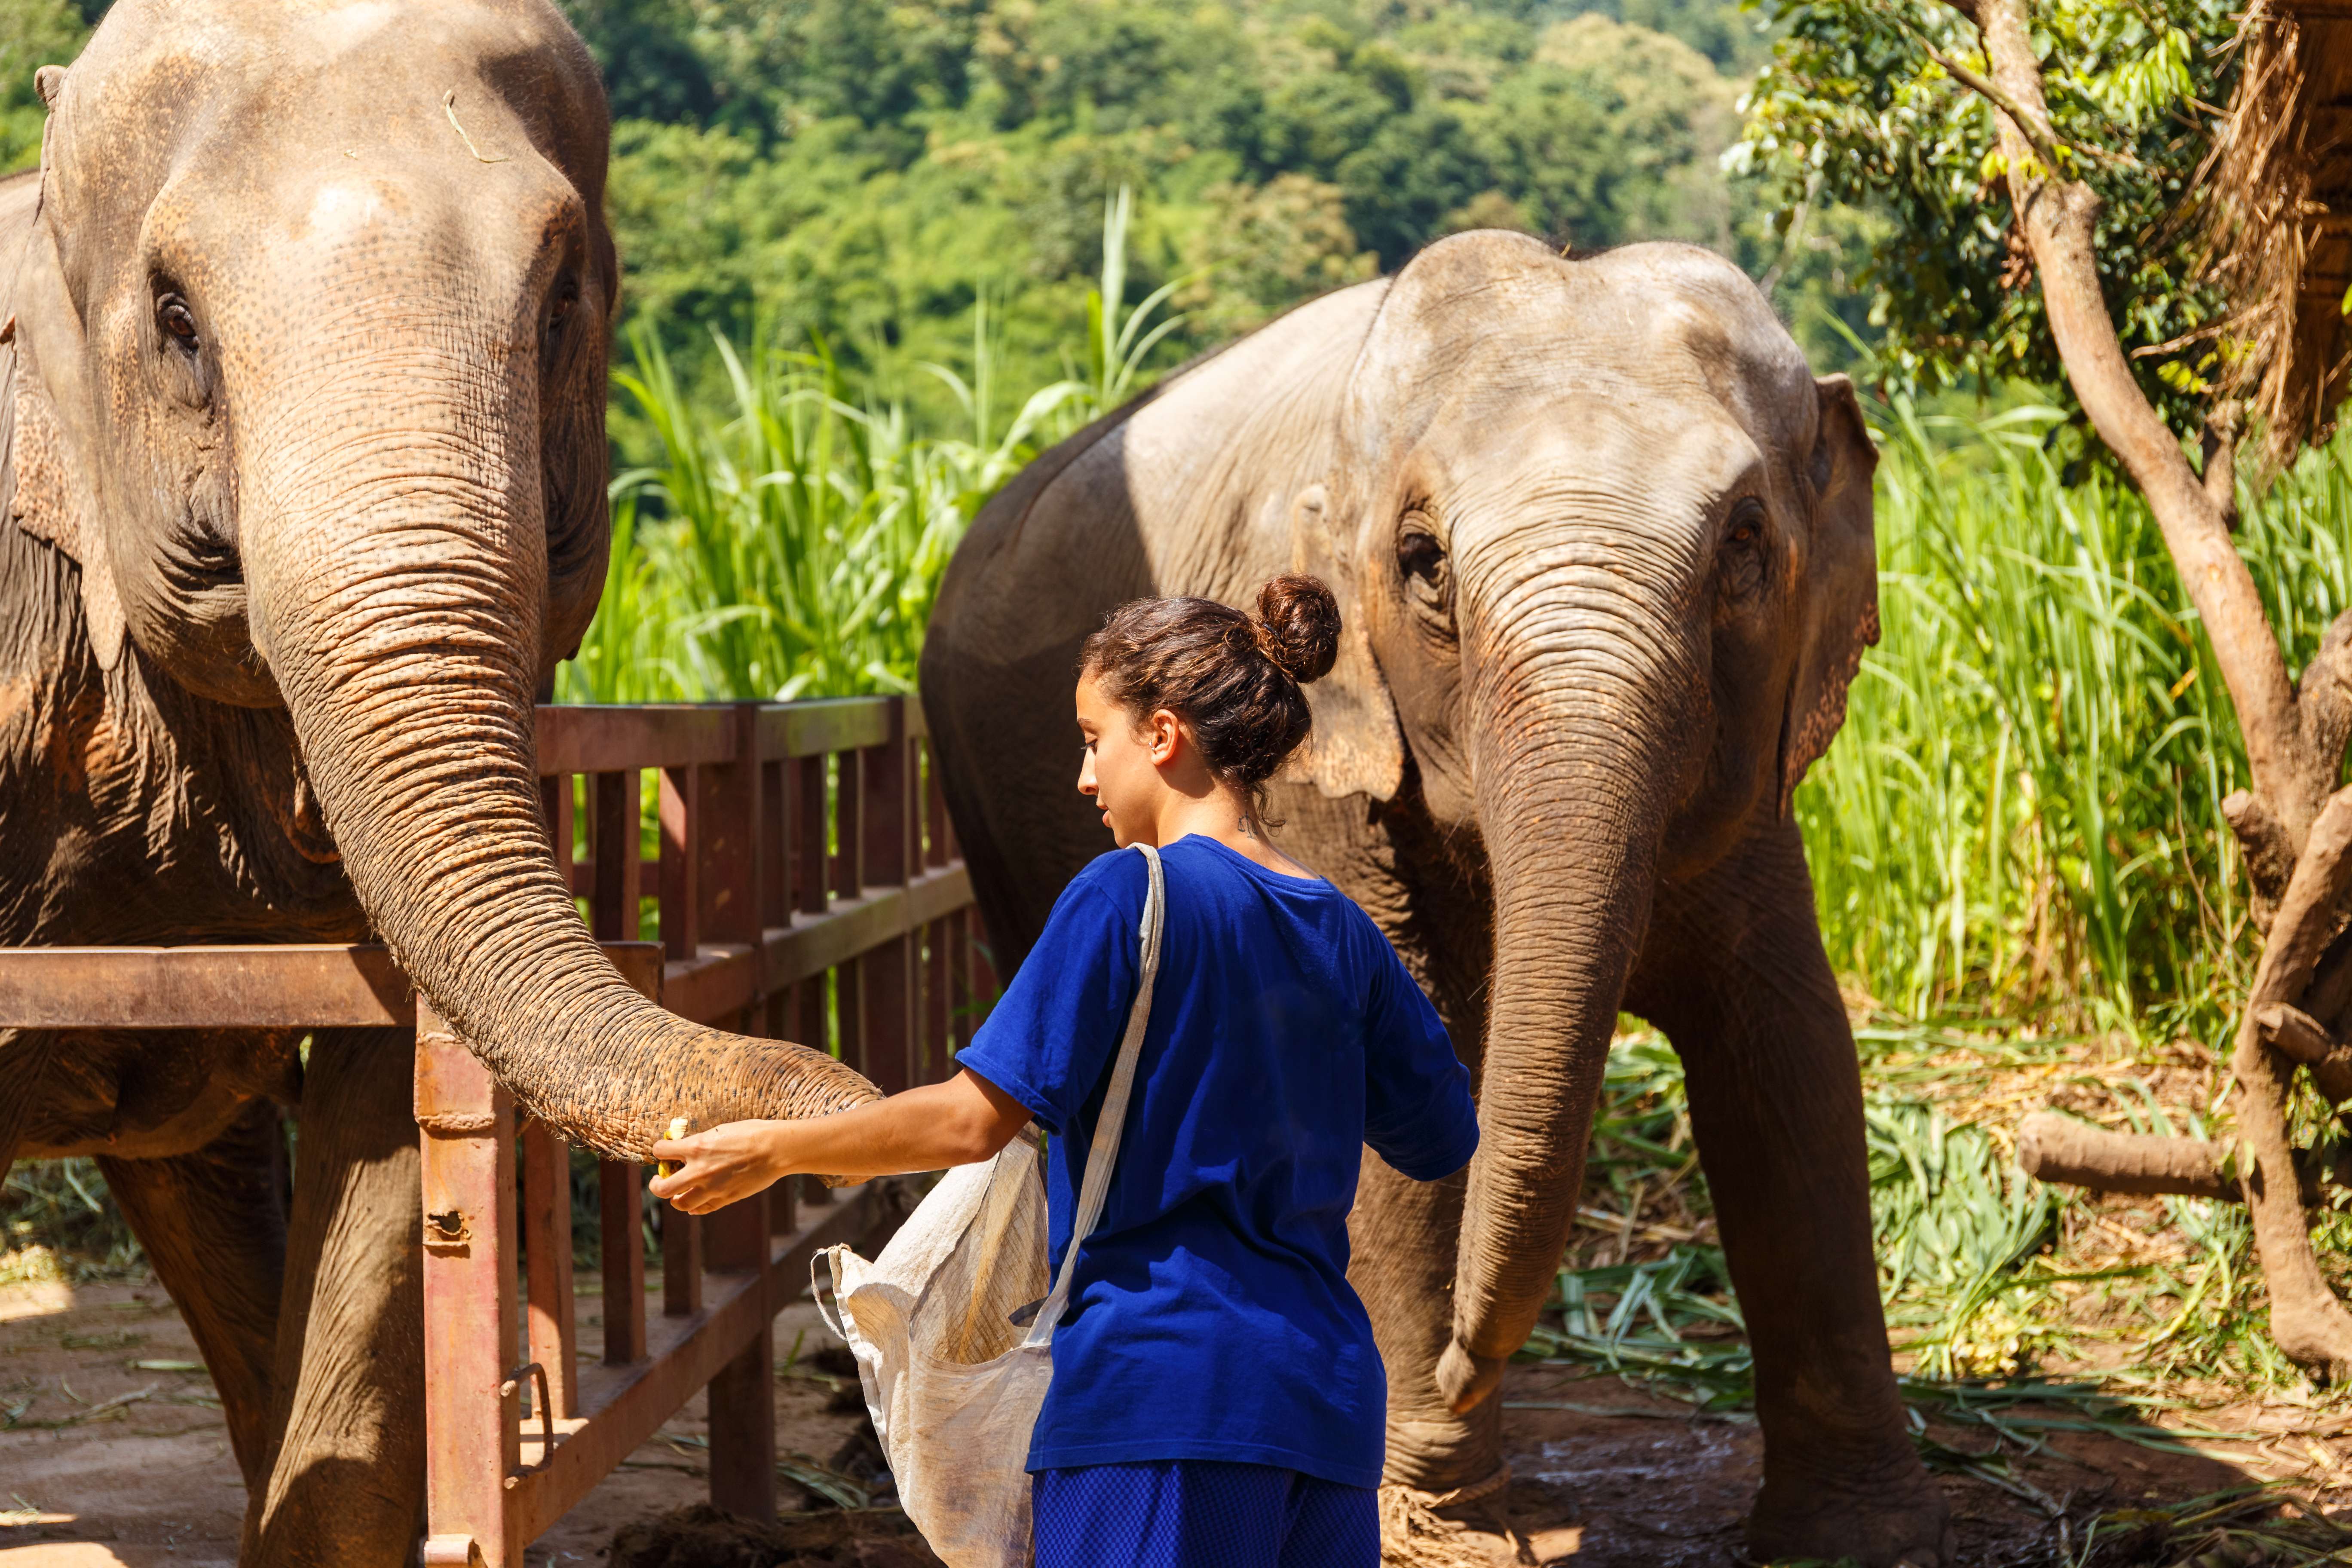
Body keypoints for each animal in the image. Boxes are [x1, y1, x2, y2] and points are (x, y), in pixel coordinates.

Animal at [920, 230, 1950, 1566]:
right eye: (1422, 563)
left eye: (1743, 539)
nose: (1465, 1363)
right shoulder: (1326, 775)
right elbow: (1388, 1074)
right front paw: (1444, 1528)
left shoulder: (1754, 780)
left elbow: (1789, 1062)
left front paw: (1862, 1535)